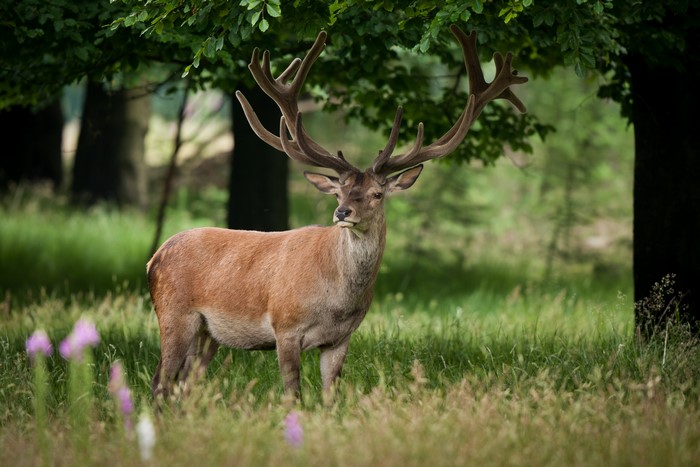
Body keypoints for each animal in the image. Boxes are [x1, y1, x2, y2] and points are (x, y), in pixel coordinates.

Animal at [147, 25, 527, 400]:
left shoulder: (341, 339)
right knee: (161, 380)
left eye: (377, 194)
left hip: (207, 334)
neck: (337, 301)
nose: (343, 213)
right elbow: (293, 393)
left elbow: (332, 394)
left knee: (181, 383)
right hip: (174, 313)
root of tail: (155, 257)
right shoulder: (285, 326)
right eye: (339, 192)